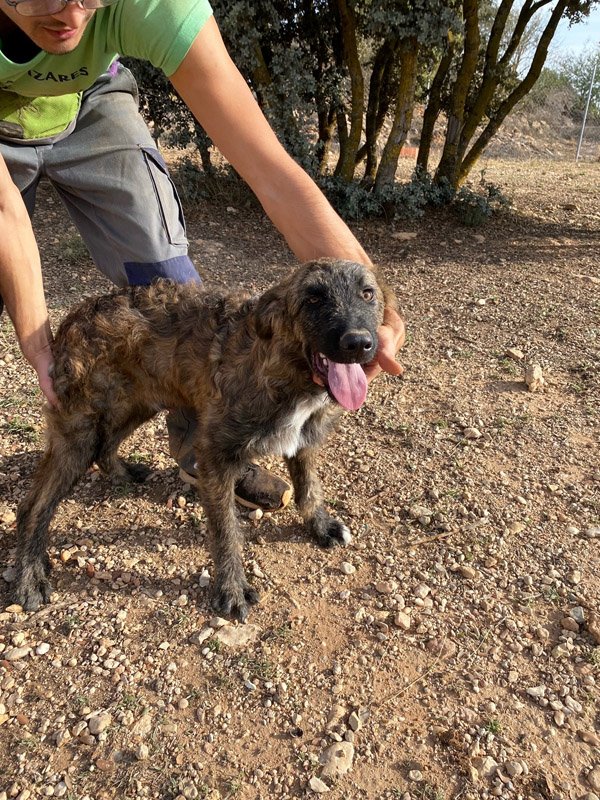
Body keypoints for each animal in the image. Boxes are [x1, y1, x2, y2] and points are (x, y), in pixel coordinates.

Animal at [15, 259, 385, 621]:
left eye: (367, 294)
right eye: (313, 298)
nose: (358, 343)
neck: (286, 369)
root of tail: (77, 315)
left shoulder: (304, 439)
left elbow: (308, 487)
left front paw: (319, 524)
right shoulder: (215, 458)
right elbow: (226, 533)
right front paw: (232, 587)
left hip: (137, 404)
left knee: (105, 448)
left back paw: (122, 473)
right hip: (80, 431)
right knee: (34, 504)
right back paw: (29, 573)